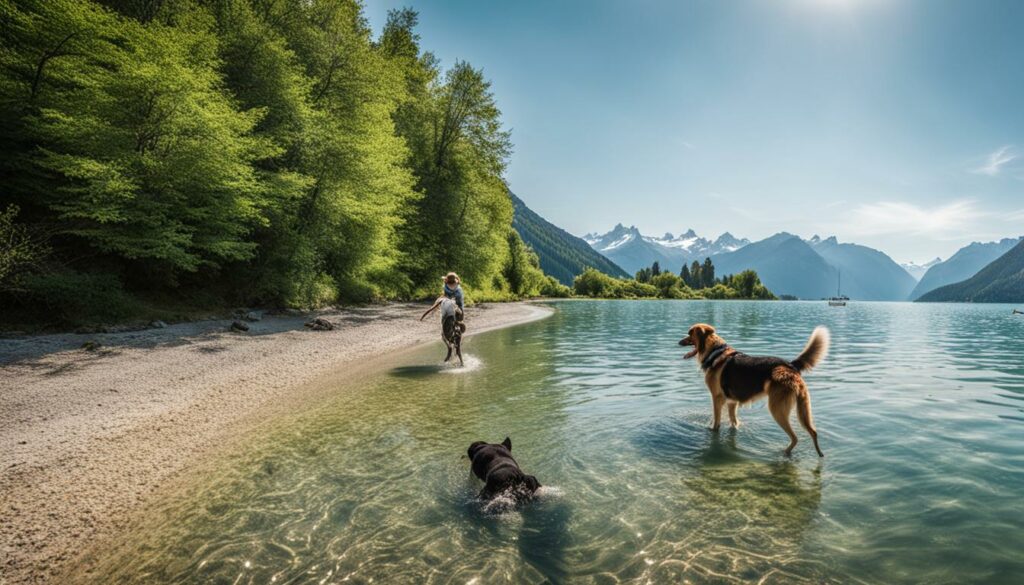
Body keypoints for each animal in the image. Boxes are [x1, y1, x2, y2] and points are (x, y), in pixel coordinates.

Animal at [679, 325, 831, 456]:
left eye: (690, 334)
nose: (679, 342)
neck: (715, 353)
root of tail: (789, 365)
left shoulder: (717, 399)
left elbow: (716, 424)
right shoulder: (732, 402)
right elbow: (734, 423)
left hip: (777, 409)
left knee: (795, 438)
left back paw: (785, 453)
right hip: (803, 409)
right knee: (813, 432)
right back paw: (820, 455)